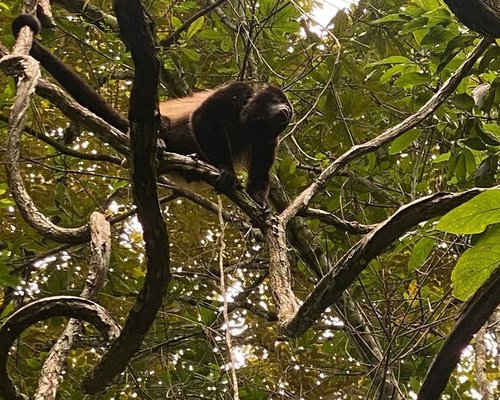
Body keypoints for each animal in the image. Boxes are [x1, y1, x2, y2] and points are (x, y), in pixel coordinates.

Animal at [10, 14, 292, 208]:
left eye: (287, 108)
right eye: (278, 99)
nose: (286, 111)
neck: (250, 119)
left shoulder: (270, 137)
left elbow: (261, 164)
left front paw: (258, 197)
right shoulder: (238, 90)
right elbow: (203, 117)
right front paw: (226, 169)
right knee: (164, 123)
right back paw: (159, 142)